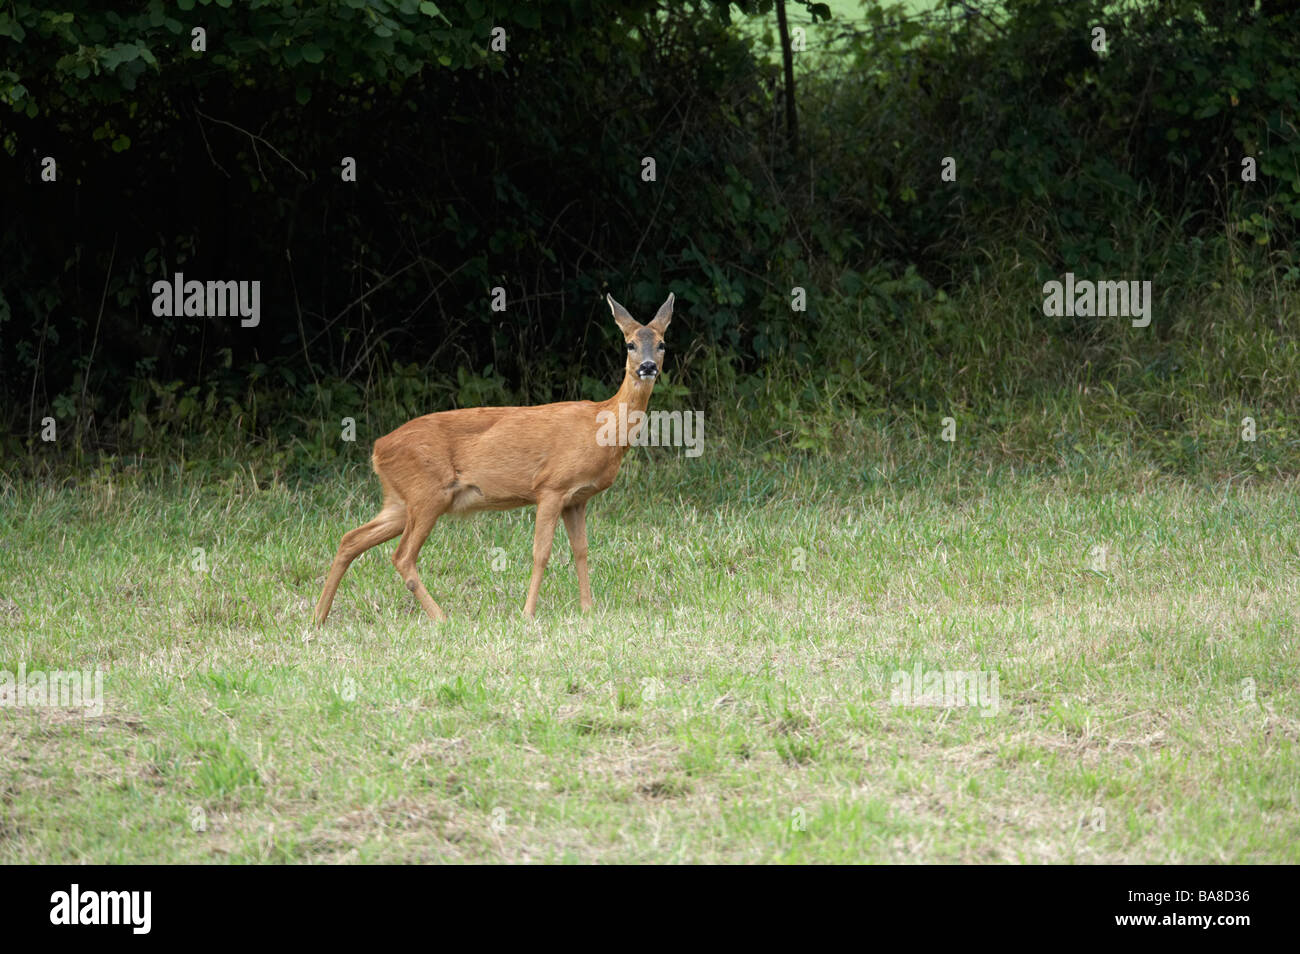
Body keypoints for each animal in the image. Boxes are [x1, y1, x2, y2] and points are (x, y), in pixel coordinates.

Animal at [313, 292, 674, 624]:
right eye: (629, 344)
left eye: (662, 344)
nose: (647, 367)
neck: (602, 426)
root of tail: (378, 449)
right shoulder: (551, 486)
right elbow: (541, 553)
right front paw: (527, 613)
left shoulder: (577, 498)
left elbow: (581, 551)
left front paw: (587, 609)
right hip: (427, 493)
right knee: (401, 556)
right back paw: (441, 617)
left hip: (401, 501)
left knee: (350, 539)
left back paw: (318, 616)